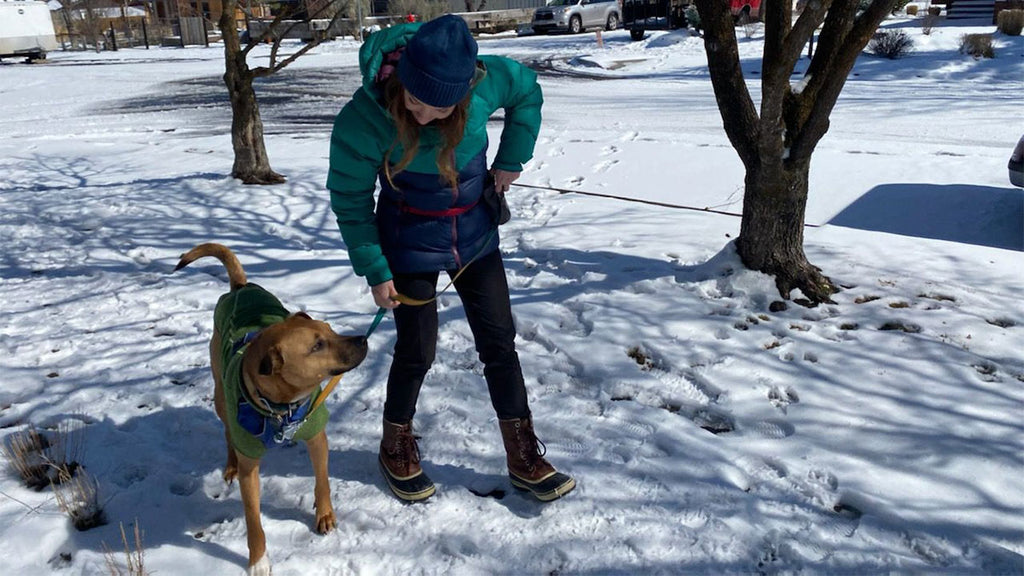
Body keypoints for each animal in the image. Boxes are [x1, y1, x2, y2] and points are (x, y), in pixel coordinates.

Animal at [176, 242, 368, 573]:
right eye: (317, 346)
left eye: (330, 330)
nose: (363, 340)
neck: (281, 407)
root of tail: (241, 288)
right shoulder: (250, 466)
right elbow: (254, 521)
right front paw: (258, 561)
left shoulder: (316, 434)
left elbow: (322, 481)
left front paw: (325, 514)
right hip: (221, 397)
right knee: (227, 432)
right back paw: (230, 465)